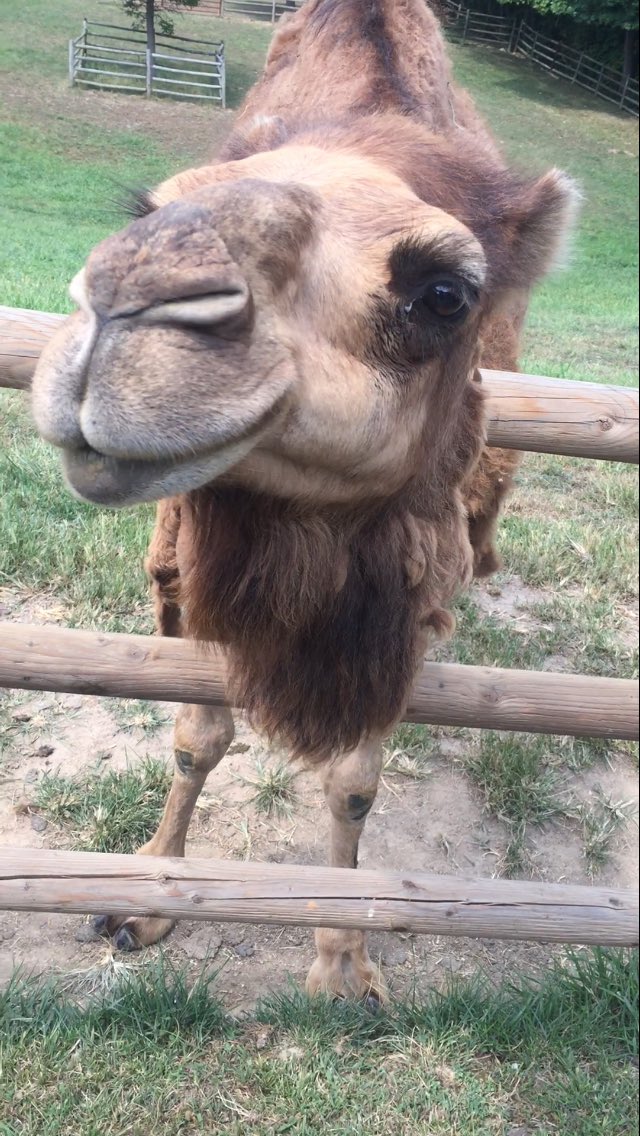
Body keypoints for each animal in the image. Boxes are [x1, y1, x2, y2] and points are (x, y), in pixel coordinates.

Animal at [31, 0, 576, 1001]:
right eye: (145, 212)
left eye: (444, 292)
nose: (130, 296)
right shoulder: (182, 570)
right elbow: (195, 736)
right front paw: (141, 901)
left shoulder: (410, 596)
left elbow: (354, 781)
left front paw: (343, 963)